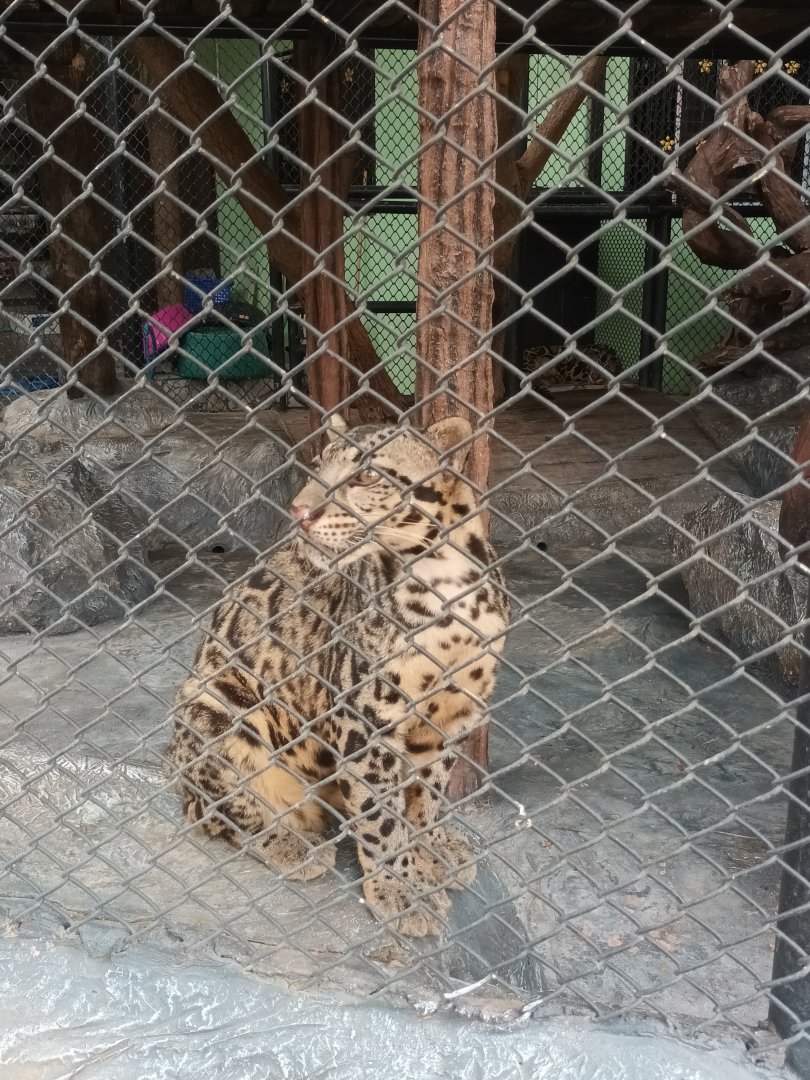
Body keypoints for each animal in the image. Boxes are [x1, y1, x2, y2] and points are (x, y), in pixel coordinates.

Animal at [166, 415, 509, 937]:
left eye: (366, 475)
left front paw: (430, 852)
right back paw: (295, 847)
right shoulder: (365, 720)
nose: (299, 511)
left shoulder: (453, 714)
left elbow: (425, 796)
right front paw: (400, 894)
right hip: (213, 704)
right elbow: (379, 818)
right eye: (319, 466)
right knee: (213, 811)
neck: (445, 581)